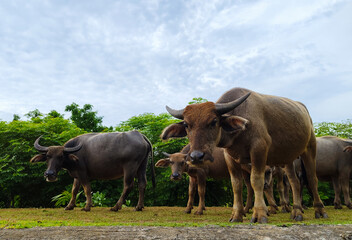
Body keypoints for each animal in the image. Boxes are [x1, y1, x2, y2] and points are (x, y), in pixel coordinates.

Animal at [162, 86, 328, 223]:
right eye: (186, 124)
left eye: (214, 121)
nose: (196, 156)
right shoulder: (230, 157)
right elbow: (236, 185)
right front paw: (236, 215)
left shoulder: (259, 150)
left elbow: (256, 181)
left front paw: (260, 214)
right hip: (288, 157)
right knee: (294, 182)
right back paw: (296, 212)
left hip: (309, 148)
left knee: (312, 178)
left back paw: (319, 210)